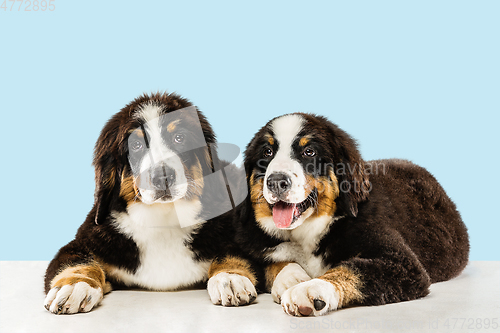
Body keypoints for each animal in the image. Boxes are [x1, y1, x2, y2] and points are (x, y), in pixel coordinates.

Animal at [43, 92, 254, 314]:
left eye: (179, 138)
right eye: (136, 145)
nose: (162, 176)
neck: (162, 219)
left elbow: (231, 253)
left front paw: (230, 278)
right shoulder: (86, 241)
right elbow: (76, 260)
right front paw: (75, 285)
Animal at [210, 112, 468, 316]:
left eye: (309, 152)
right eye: (268, 152)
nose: (276, 181)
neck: (307, 232)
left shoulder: (401, 263)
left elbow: (351, 269)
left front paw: (309, 288)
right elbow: (269, 261)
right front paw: (290, 277)